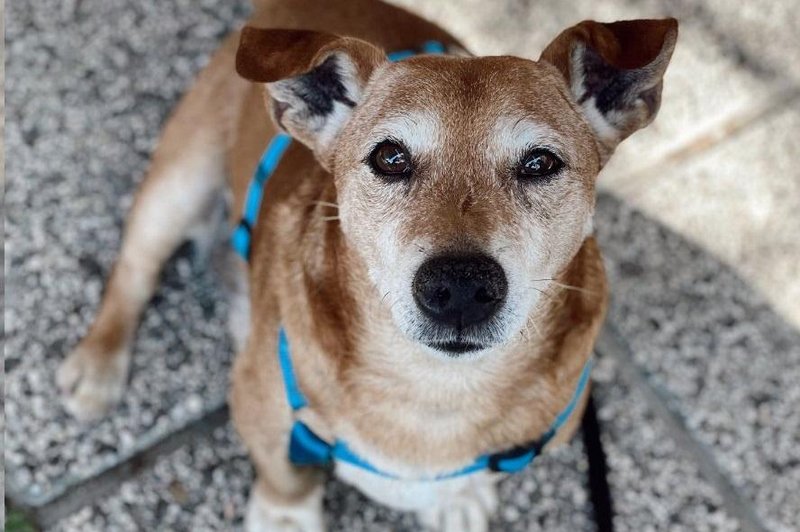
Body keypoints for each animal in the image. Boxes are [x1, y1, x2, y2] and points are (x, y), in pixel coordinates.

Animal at [56, 2, 676, 528]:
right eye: (390, 157)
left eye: (541, 163)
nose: (459, 287)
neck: (436, 388)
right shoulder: (257, 404)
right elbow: (284, 475)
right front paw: (285, 518)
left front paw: (457, 498)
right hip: (178, 184)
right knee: (133, 271)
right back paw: (98, 365)